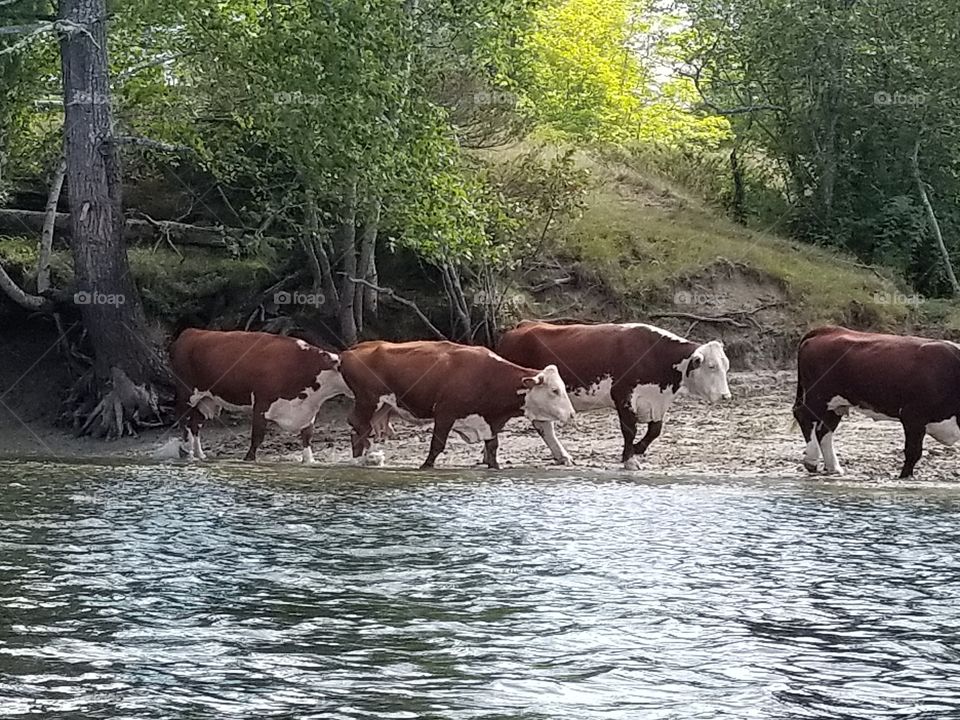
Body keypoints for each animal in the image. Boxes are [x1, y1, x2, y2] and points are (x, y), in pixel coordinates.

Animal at [169, 329, 350, 462]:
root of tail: (190, 332)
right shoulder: (261, 404)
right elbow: (257, 437)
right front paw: (249, 459)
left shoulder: (307, 412)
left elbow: (307, 437)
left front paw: (309, 460)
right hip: (187, 394)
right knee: (184, 423)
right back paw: (188, 454)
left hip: (206, 400)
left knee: (195, 425)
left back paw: (200, 455)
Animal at [339, 340, 576, 469]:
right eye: (555, 390)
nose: (572, 414)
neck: (488, 376)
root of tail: (351, 350)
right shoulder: (445, 413)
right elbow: (437, 446)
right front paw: (425, 466)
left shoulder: (489, 420)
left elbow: (492, 449)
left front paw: (495, 466)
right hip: (368, 401)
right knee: (358, 426)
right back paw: (369, 457)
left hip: (381, 407)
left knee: (358, 430)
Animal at [496, 321, 731, 468]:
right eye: (711, 366)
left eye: (726, 366)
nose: (726, 396)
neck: (654, 355)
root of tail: (524, 325)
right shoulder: (623, 395)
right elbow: (630, 430)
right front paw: (630, 459)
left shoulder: (657, 401)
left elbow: (655, 430)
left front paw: (637, 449)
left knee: (544, 426)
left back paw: (562, 456)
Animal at [793, 325, 960, 478]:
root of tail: (828, 329)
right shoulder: (913, 416)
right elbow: (913, 452)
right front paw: (905, 476)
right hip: (818, 395)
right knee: (803, 415)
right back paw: (812, 460)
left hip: (836, 403)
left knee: (825, 428)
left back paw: (834, 468)